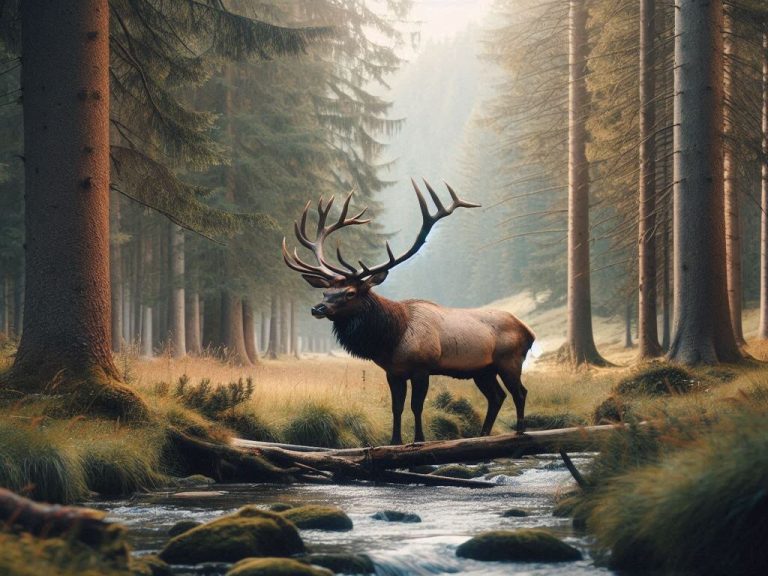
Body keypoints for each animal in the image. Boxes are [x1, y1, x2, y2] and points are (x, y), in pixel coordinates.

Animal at [282, 180, 535, 445]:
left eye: (350, 293)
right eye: (325, 292)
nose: (317, 308)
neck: (392, 338)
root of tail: (530, 333)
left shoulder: (422, 367)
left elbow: (417, 406)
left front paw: (419, 439)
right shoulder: (393, 372)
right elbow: (397, 407)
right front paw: (395, 441)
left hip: (509, 360)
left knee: (519, 392)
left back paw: (519, 430)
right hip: (482, 370)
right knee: (496, 396)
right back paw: (483, 434)